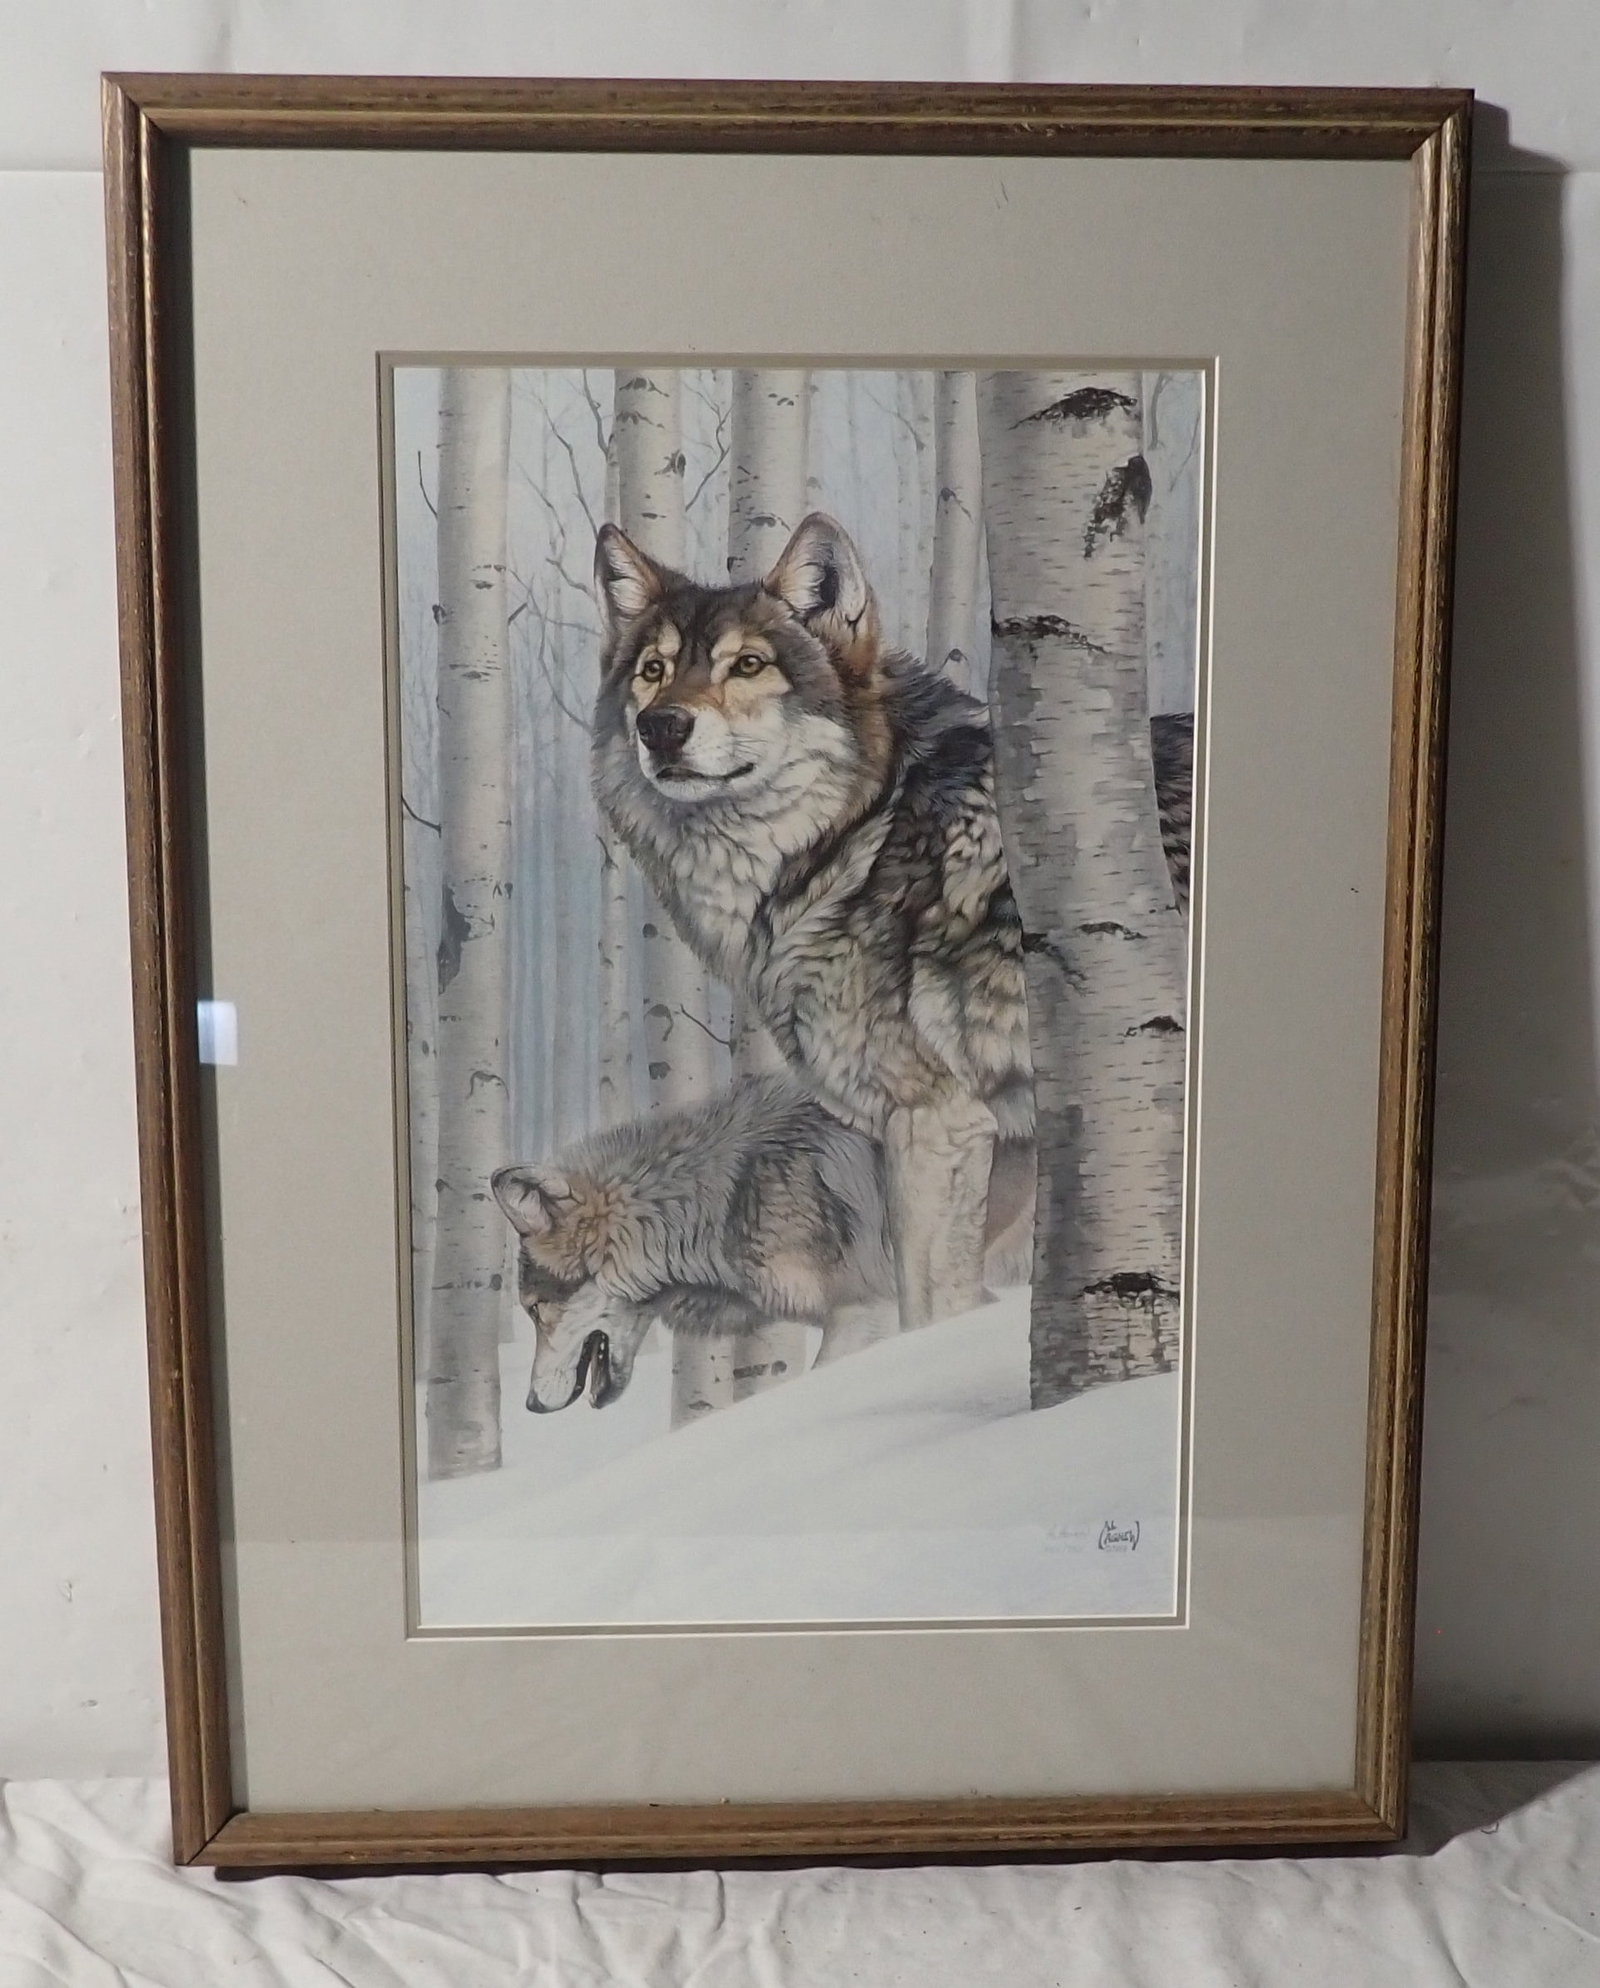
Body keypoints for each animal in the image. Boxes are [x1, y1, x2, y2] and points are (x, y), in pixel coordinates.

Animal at [590, 512, 1034, 1328]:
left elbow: (928, 1311)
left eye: (748, 665)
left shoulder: (939, 1124)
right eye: (652, 670)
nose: (661, 728)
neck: (865, 834)